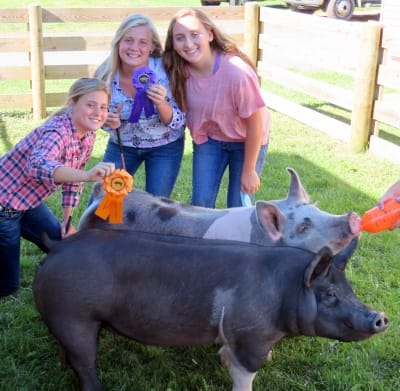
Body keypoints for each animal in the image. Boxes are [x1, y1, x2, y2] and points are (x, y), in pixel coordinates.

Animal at [34, 230, 388, 391]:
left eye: (350, 289)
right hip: (74, 316)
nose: (381, 317)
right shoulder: (251, 337)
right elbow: (246, 373)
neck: (283, 290)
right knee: (85, 361)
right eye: (329, 294)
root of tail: (57, 245)